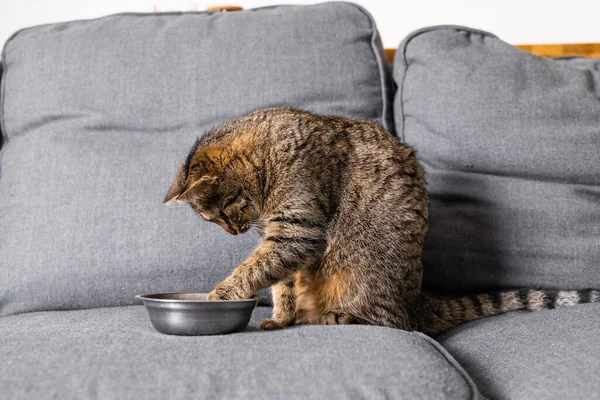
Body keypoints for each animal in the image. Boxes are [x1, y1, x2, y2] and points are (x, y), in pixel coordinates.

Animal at [163, 107, 600, 334]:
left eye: (221, 213)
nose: (234, 231)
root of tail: (416, 304)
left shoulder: (297, 230)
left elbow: (252, 270)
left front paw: (218, 297)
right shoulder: (284, 237)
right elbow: (280, 283)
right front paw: (280, 317)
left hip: (366, 273)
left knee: (390, 322)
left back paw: (341, 315)